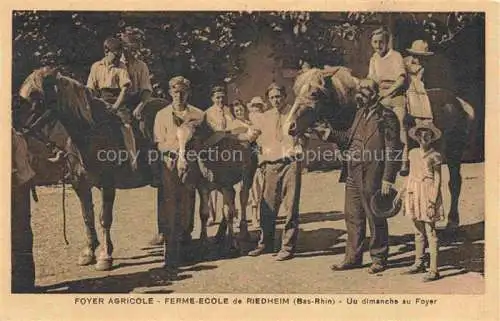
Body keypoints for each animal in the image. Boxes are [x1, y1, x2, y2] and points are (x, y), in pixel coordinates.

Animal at [16, 68, 168, 270]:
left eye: (37, 98)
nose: (20, 129)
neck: (89, 134)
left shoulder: (108, 184)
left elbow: (105, 218)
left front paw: (105, 256)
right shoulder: (79, 184)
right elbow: (87, 216)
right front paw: (88, 252)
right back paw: (161, 237)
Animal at [284, 66, 474, 229]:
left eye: (314, 93)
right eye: (295, 91)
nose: (290, 126)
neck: (355, 109)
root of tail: (458, 102)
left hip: (454, 153)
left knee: (455, 183)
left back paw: (452, 222)